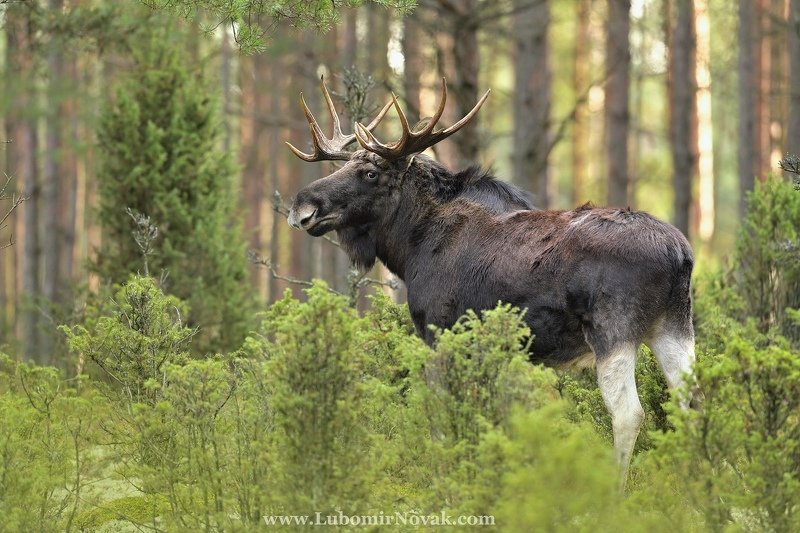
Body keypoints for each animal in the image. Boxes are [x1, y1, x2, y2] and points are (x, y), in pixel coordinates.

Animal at [285, 78, 696, 484]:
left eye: (371, 173)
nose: (301, 206)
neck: (411, 246)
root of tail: (680, 254)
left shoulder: (439, 333)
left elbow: (443, 423)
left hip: (613, 330)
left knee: (628, 413)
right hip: (674, 326)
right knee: (690, 401)